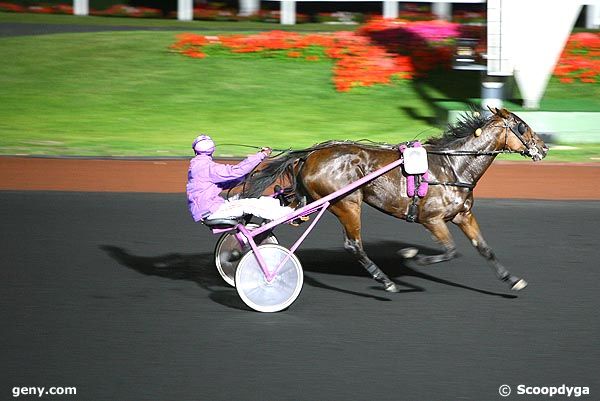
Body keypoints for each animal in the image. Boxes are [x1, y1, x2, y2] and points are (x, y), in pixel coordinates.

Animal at [240, 108, 548, 292]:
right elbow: (450, 250)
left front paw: (512, 280)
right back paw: (385, 281)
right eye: (522, 126)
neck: (453, 167)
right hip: (347, 202)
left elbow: (484, 249)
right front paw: (412, 255)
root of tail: (311, 153)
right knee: (353, 244)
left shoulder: (463, 215)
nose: (544, 147)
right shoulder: (432, 219)